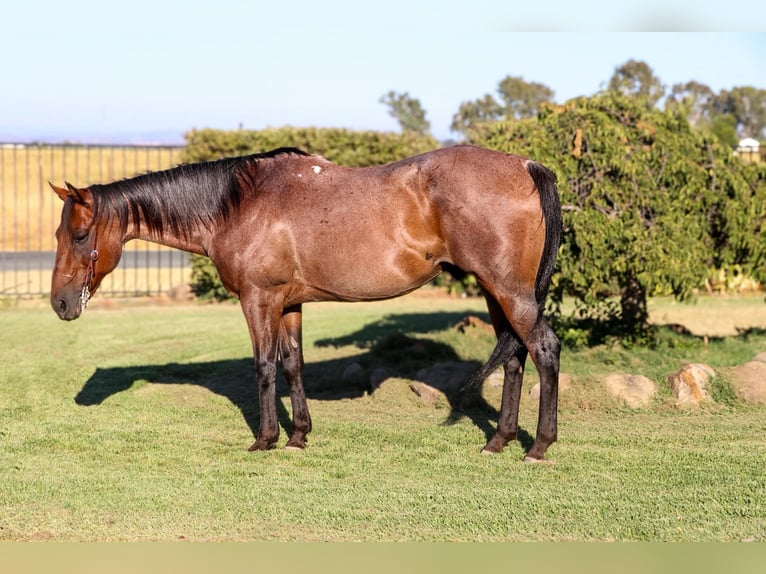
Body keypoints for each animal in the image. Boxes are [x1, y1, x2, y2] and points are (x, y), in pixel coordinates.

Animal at [50, 144, 562, 461]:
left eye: (80, 235)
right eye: (58, 234)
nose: (60, 304)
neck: (240, 204)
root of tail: (524, 165)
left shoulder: (259, 301)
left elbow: (264, 367)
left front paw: (266, 439)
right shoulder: (290, 305)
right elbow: (294, 365)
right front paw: (298, 436)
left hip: (509, 292)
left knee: (544, 350)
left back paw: (538, 447)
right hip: (496, 292)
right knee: (513, 357)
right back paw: (499, 441)